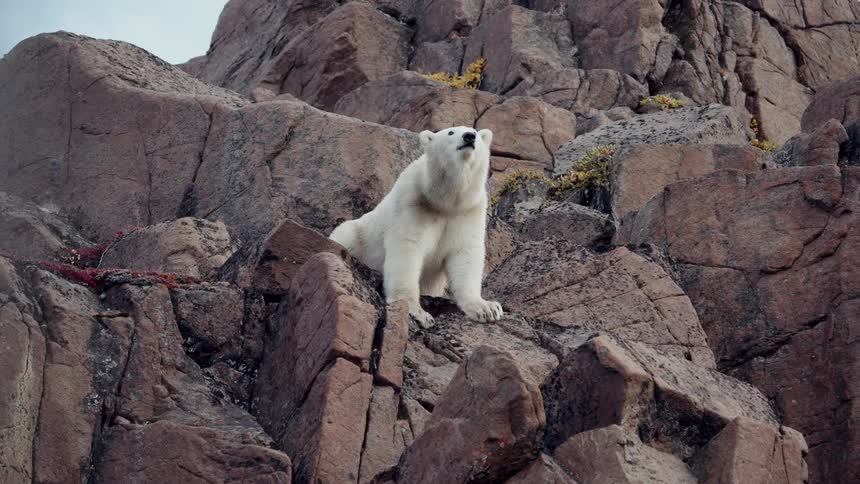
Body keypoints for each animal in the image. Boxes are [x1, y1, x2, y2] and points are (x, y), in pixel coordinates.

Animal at [329, 126, 503, 328]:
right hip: (358, 234)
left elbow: (465, 253)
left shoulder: (469, 211)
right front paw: (417, 311)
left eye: (474, 131)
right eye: (451, 132)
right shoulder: (413, 201)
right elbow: (407, 248)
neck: (445, 202)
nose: (469, 137)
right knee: (346, 233)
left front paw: (486, 308)